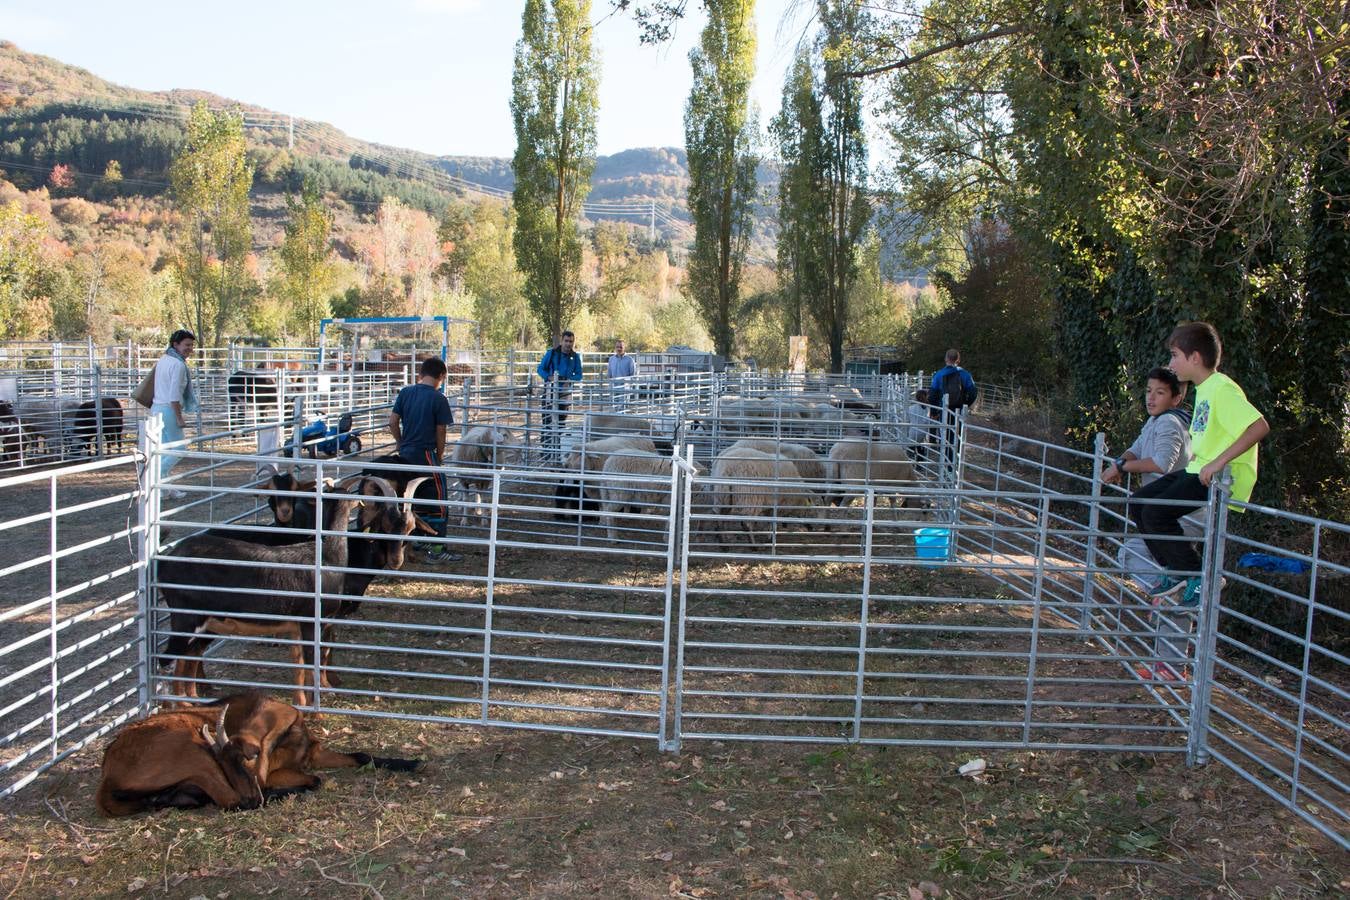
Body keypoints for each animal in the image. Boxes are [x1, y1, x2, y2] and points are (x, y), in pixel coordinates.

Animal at [95, 696, 418, 820]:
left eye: (247, 759)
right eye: (228, 766)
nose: (253, 794)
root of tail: (107, 776)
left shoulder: (313, 753)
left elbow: (360, 755)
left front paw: (411, 763)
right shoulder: (273, 772)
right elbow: (315, 779)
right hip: (191, 753)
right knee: (230, 801)